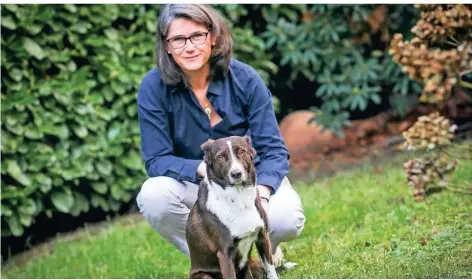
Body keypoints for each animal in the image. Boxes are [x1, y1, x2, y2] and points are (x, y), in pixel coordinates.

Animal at [186, 135, 278, 278]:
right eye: (220, 156)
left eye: (241, 151)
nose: (236, 174)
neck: (239, 200)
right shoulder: (225, 254)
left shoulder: (263, 238)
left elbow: (271, 270)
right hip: (204, 275)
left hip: (254, 268)